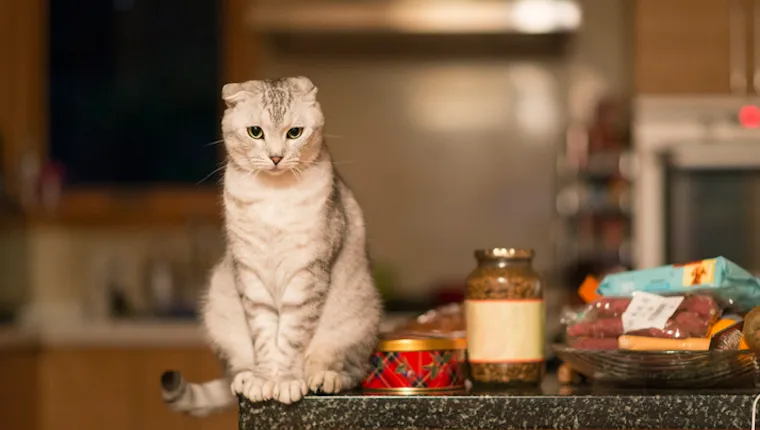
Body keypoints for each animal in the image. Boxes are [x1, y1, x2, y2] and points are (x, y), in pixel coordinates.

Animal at [163, 75, 382, 414]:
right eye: (256, 132)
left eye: (295, 132)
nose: (276, 157)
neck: (274, 196)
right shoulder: (250, 272)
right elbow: (266, 336)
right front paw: (265, 379)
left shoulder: (307, 272)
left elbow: (291, 337)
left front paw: (287, 380)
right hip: (218, 308)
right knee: (235, 368)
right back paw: (245, 378)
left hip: (357, 319)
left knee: (352, 369)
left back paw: (324, 378)